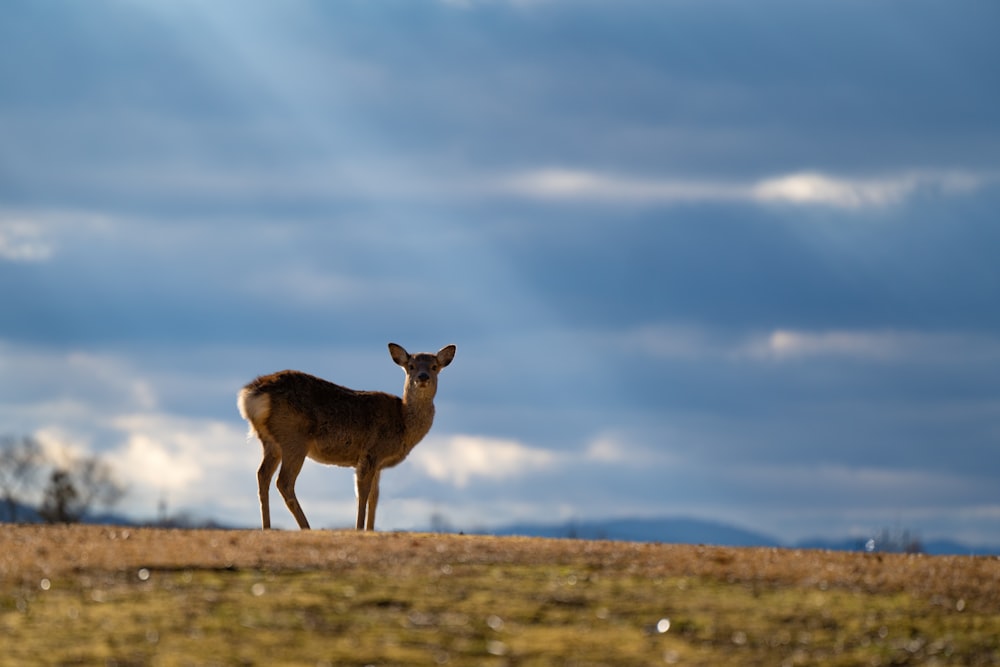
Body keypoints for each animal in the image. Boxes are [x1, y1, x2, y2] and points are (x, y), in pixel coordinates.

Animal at [238, 344, 458, 532]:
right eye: (410, 366)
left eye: (434, 366)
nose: (423, 376)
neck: (403, 422)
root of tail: (250, 394)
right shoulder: (371, 452)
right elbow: (362, 493)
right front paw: (359, 528)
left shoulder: (378, 463)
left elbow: (375, 497)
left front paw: (370, 529)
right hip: (294, 437)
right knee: (283, 481)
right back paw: (306, 527)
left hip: (270, 442)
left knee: (262, 475)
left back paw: (267, 527)